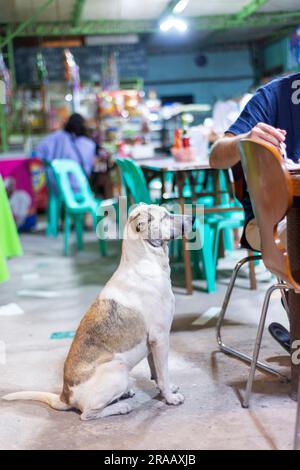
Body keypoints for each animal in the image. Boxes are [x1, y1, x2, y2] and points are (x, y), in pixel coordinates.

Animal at [3, 204, 192, 420]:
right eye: (165, 216)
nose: (193, 219)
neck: (144, 261)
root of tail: (65, 396)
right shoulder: (160, 338)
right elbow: (163, 373)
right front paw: (170, 397)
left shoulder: (152, 344)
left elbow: (157, 372)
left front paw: (166, 390)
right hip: (118, 369)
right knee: (87, 414)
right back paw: (121, 407)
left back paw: (124, 394)